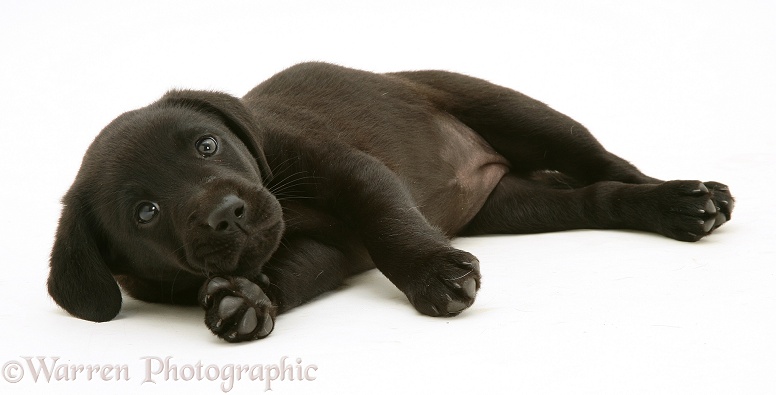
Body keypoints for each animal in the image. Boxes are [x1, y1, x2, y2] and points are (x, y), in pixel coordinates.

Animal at [48, 61, 732, 340]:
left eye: (207, 145)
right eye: (144, 213)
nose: (226, 214)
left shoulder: (345, 168)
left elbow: (385, 217)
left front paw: (433, 273)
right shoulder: (321, 251)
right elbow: (282, 273)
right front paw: (241, 302)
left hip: (516, 111)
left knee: (607, 164)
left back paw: (685, 200)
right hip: (518, 207)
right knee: (594, 197)